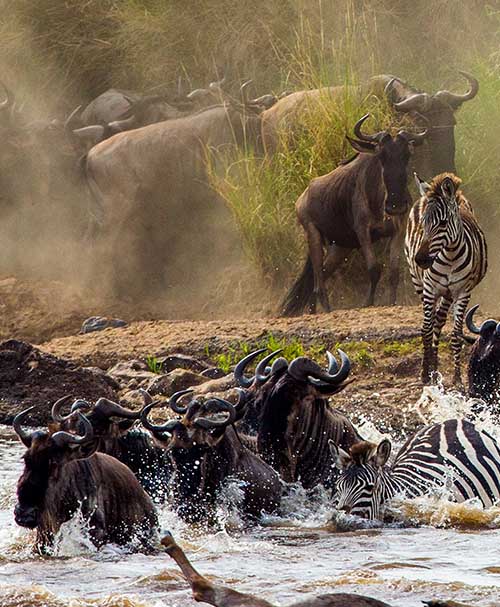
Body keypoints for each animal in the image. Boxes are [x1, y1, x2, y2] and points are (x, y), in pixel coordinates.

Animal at [404, 171, 486, 384]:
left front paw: (457, 377)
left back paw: (435, 367)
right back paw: (430, 369)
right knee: (431, 323)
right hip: (419, 283)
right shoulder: (429, 289)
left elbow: (456, 334)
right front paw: (425, 374)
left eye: (442, 223)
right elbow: (425, 329)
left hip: (448, 294)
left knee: (439, 322)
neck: (449, 255)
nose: (421, 260)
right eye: (423, 223)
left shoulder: (462, 292)